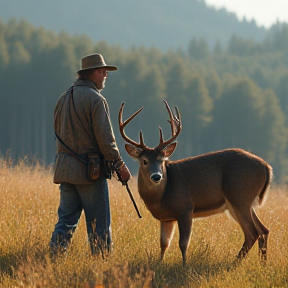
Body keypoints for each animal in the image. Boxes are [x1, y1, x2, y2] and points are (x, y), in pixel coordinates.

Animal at [118, 99, 272, 266]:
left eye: (162, 160)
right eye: (144, 161)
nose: (157, 176)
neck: (161, 197)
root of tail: (266, 166)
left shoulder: (185, 208)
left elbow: (183, 243)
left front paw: (184, 265)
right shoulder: (167, 218)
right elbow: (164, 243)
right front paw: (159, 264)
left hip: (240, 196)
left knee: (253, 232)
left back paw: (234, 263)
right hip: (240, 203)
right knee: (263, 230)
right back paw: (263, 264)